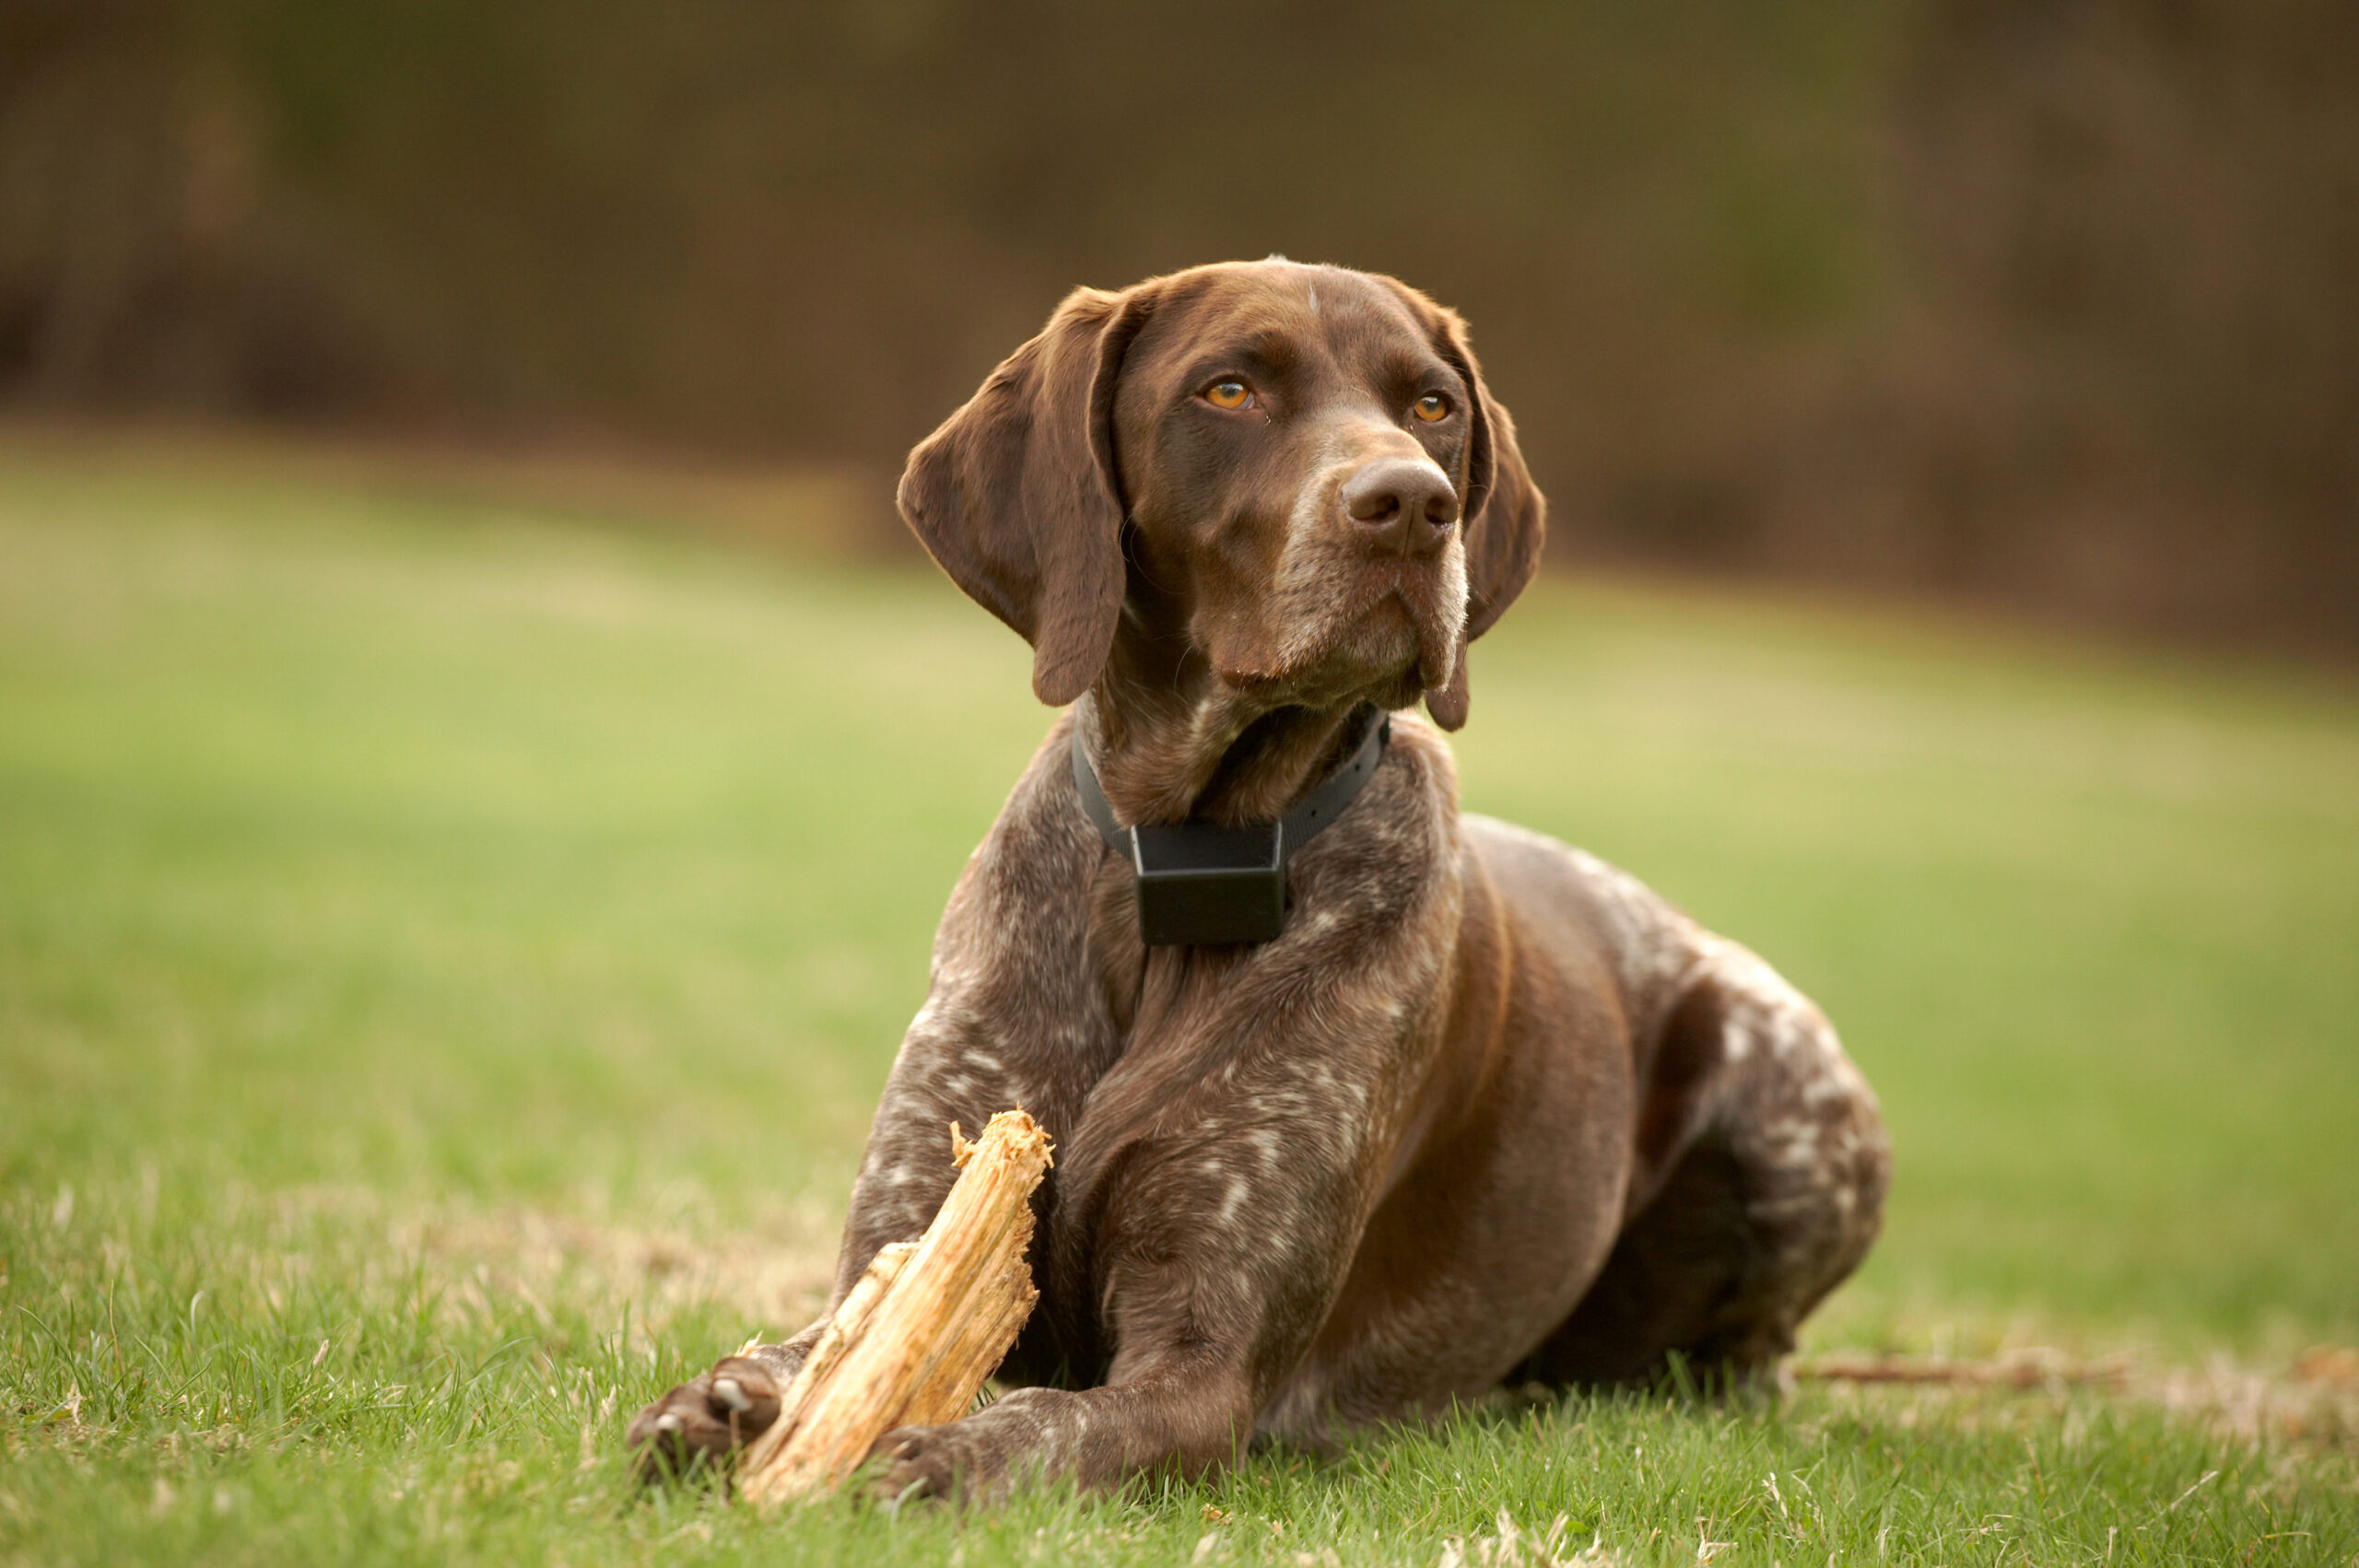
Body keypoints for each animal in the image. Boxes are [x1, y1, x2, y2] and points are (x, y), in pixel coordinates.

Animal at [632, 263, 1896, 1499]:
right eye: (1228, 390)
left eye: (1431, 405)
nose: (1412, 505)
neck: (1189, 860)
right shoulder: (913, 1236)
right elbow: (809, 1351)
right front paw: (725, 1402)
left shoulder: (1202, 1365)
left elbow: (1042, 1423)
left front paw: (940, 1455)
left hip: (1790, 1096)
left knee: (1750, 1359)